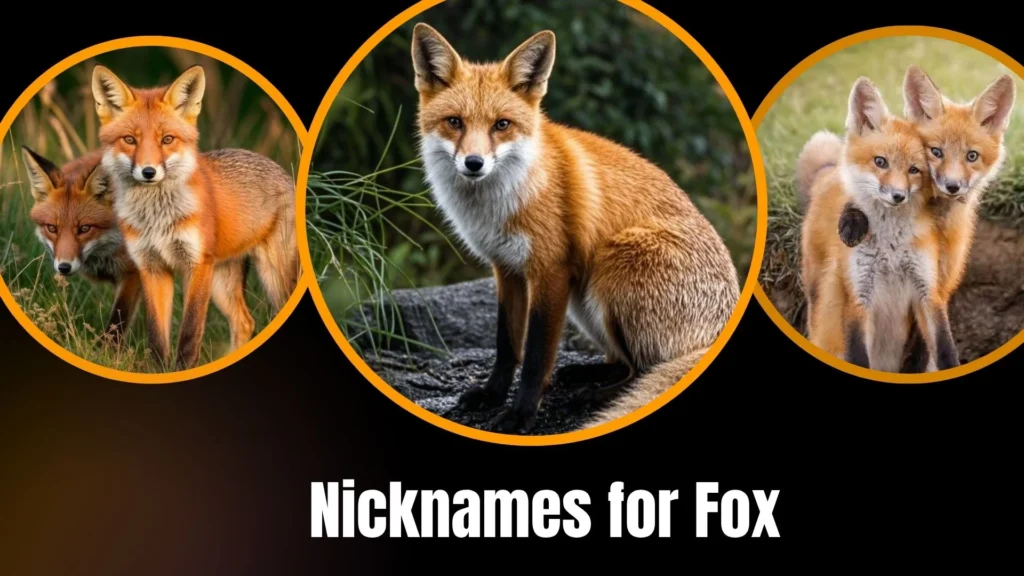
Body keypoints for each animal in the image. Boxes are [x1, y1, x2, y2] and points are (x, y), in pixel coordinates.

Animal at [90, 64, 299, 370]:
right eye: (130, 140)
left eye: (167, 139)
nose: (149, 172)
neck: (157, 218)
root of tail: (282, 171)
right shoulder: (151, 267)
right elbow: (157, 336)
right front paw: (160, 371)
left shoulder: (197, 264)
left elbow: (189, 333)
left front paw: (183, 369)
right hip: (223, 283)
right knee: (245, 322)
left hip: (272, 278)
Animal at [410, 23, 740, 433]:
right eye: (455, 122)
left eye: (501, 125)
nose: (474, 163)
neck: (504, 200)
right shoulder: (506, 268)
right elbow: (506, 345)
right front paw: (492, 394)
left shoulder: (550, 270)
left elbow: (536, 356)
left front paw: (521, 414)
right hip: (585, 302)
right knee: (622, 362)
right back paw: (582, 375)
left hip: (612, 265)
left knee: (643, 370)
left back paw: (594, 397)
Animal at [799, 76, 957, 373]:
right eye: (880, 162)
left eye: (914, 170)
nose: (898, 196)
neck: (890, 247)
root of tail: (828, 174)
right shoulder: (859, 296)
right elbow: (859, 357)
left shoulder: (928, 292)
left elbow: (945, 350)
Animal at [837, 66, 1017, 371]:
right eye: (936, 152)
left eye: (972, 156)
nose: (952, 186)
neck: (938, 227)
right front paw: (853, 219)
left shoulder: (937, 287)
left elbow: (930, 349)